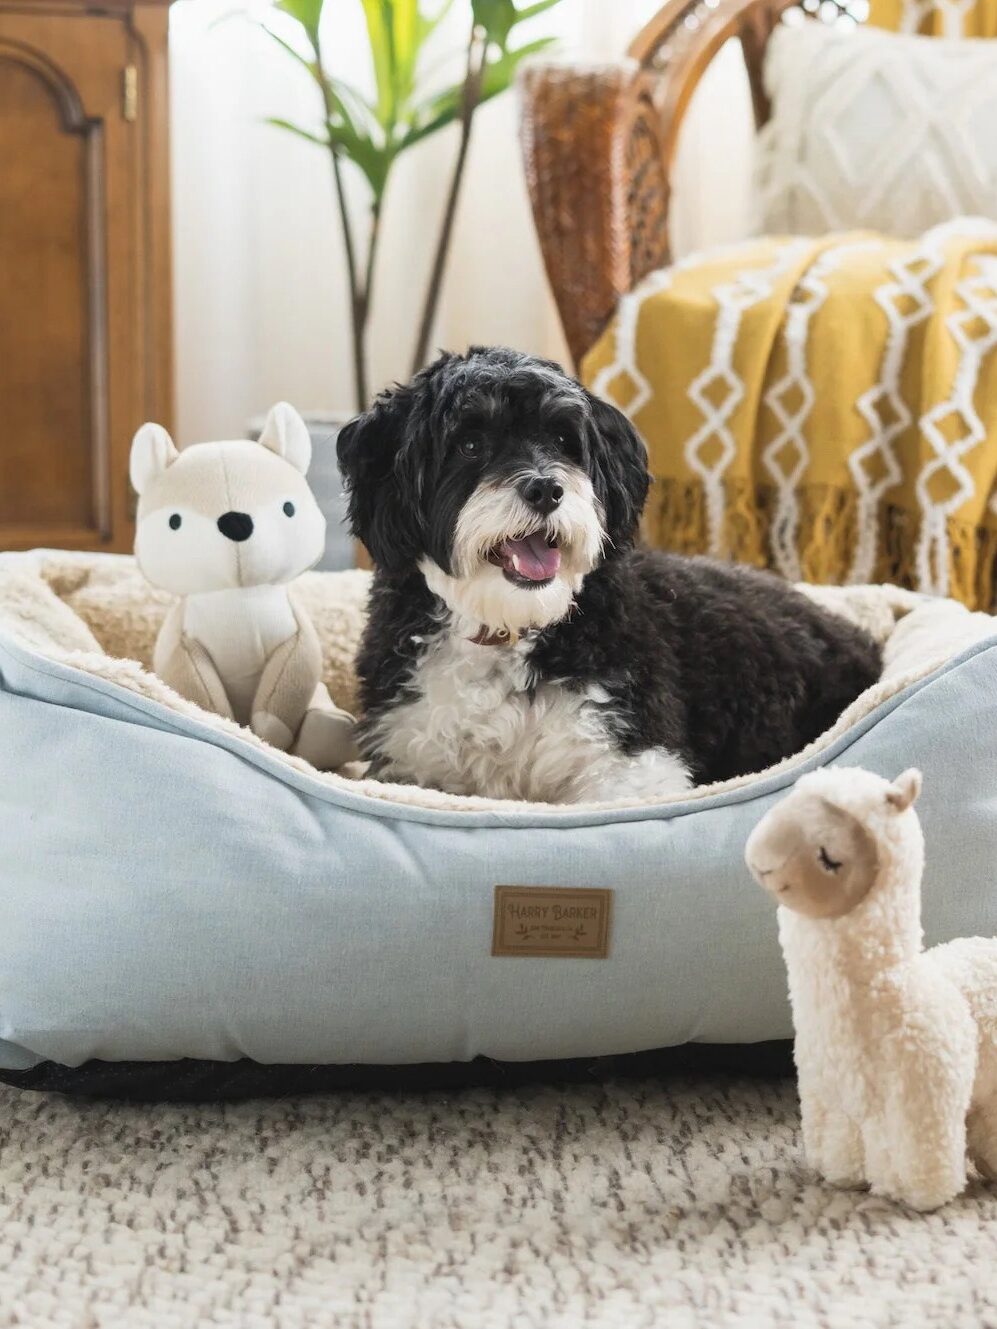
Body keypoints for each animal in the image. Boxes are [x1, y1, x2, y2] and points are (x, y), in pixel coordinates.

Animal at [340, 350, 887, 797]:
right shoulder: (410, 758)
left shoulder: (634, 763)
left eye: (563, 439)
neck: (507, 629)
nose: (546, 489)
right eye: (470, 444)